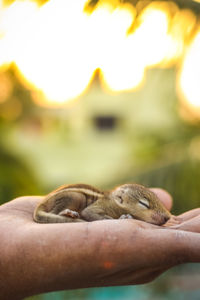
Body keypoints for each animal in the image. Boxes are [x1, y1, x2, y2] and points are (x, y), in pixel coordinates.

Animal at [33, 183, 171, 225]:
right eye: (144, 204)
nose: (167, 218)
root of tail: (42, 203)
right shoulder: (96, 207)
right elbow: (89, 213)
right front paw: (122, 218)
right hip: (76, 196)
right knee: (54, 212)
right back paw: (67, 213)